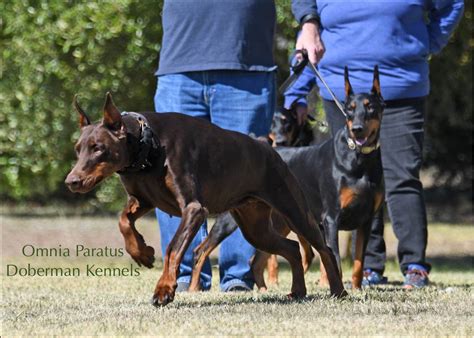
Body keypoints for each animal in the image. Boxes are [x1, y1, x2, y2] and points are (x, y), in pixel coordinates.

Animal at [65, 93, 346, 306]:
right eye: (78, 149)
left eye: (98, 148)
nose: (71, 181)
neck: (148, 149)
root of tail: (268, 147)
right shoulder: (142, 200)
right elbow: (123, 220)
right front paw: (142, 253)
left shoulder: (194, 208)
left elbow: (173, 248)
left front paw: (164, 289)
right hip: (254, 226)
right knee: (291, 247)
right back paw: (298, 290)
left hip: (293, 209)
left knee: (324, 248)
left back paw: (338, 290)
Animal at [192, 67, 386, 290]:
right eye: (350, 109)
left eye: (370, 107)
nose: (357, 129)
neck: (360, 159)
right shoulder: (331, 218)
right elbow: (334, 257)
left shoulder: (366, 220)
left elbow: (358, 261)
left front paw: (356, 288)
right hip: (233, 219)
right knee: (202, 249)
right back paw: (193, 288)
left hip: (279, 221)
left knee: (258, 260)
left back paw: (264, 290)